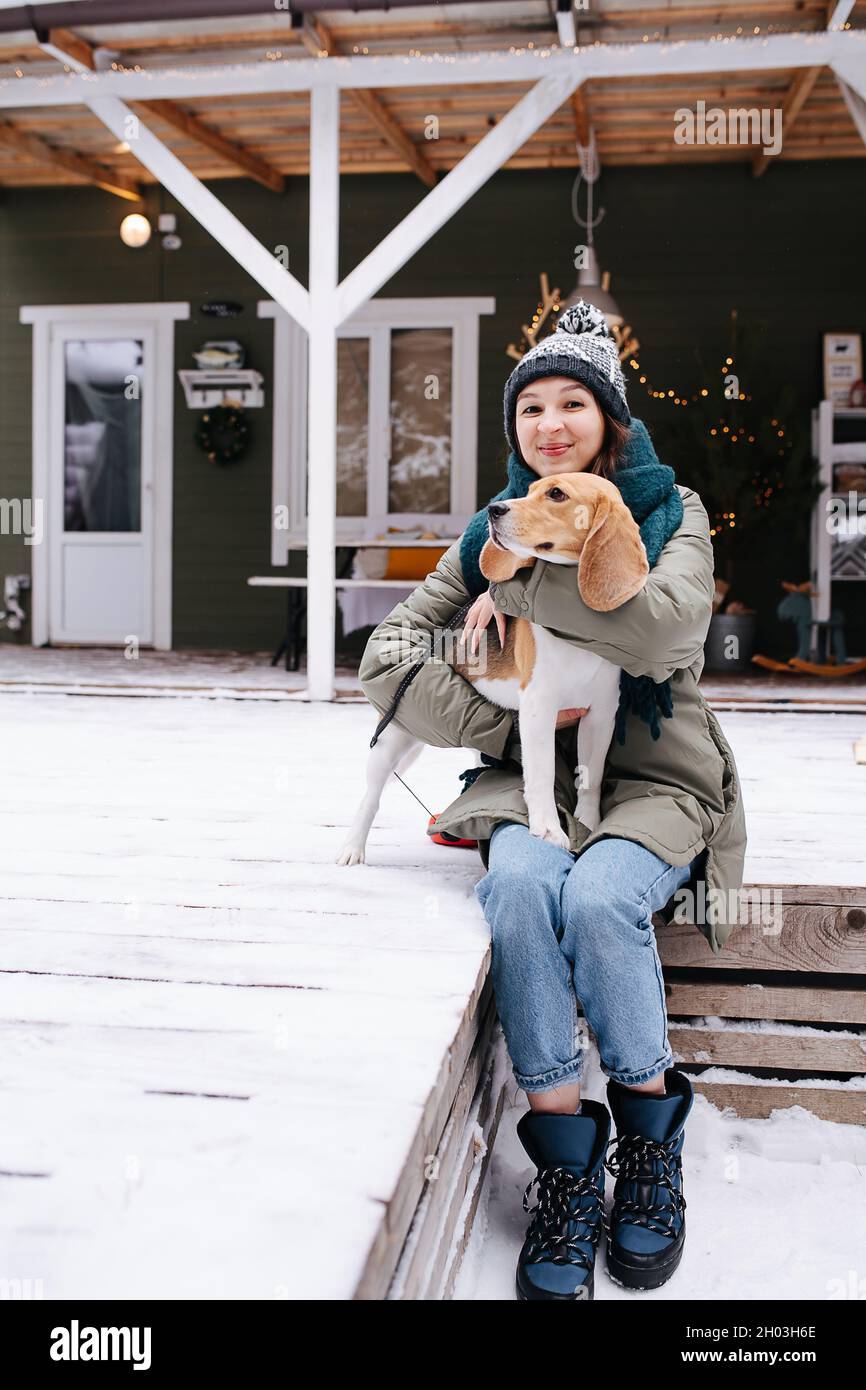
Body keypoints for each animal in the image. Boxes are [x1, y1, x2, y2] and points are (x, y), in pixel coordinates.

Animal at [339, 472, 650, 861]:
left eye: (556, 493)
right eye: (529, 491)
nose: (494, 509)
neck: (573, 629)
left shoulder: (601, 714)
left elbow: (590, 778)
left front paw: (587, 823)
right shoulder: (539, 710)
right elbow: (542, 773)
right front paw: (548, 830)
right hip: (393, 737)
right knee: (371, 796)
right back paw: (353, 847)